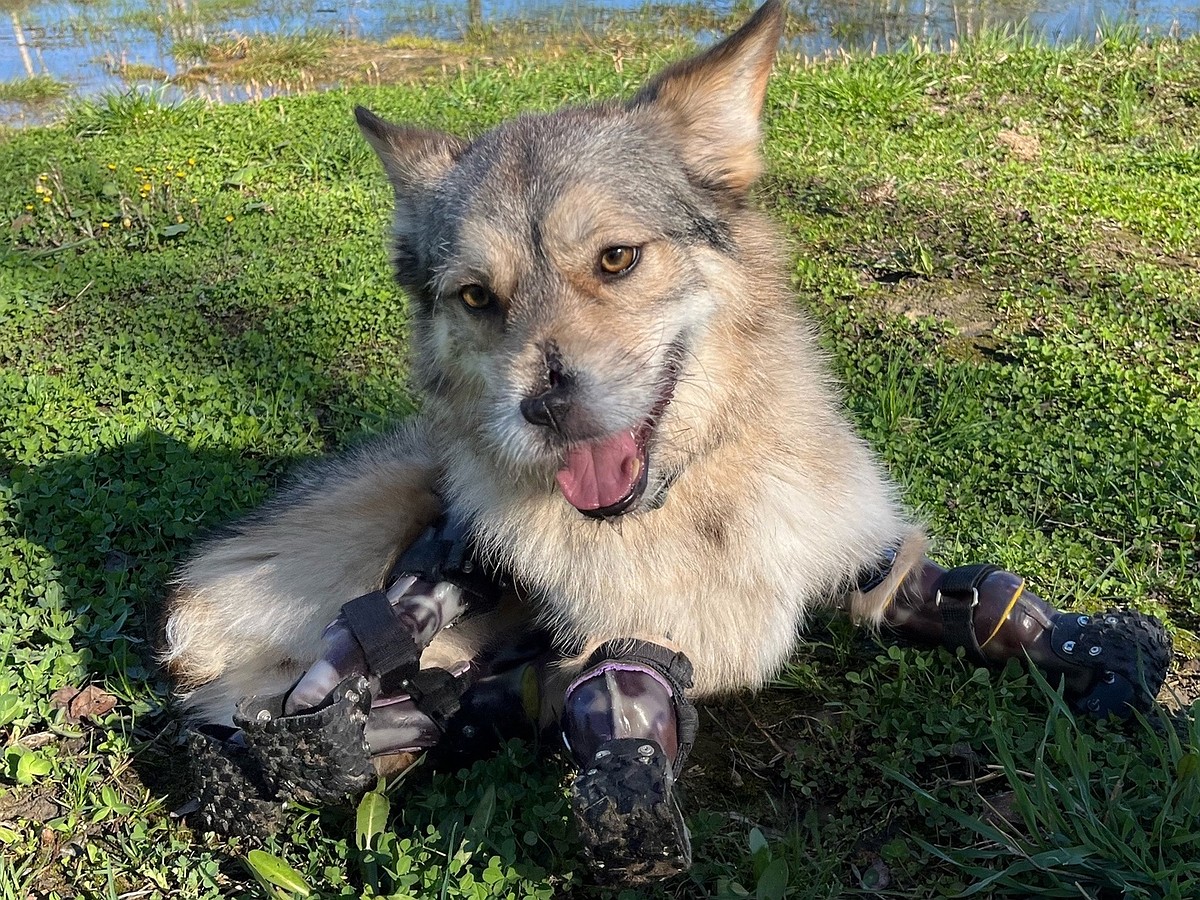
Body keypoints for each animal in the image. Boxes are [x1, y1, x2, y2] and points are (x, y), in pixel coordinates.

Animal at [162, 1, 1171, 888]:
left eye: (616, 258)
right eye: (478, 297)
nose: (544, 407)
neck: (693, 503)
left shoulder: (846, 555)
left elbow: (944, 589)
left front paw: (1092, 646)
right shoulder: (617, 641)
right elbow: (618, 697)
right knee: (318, 674)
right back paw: (287, 751)